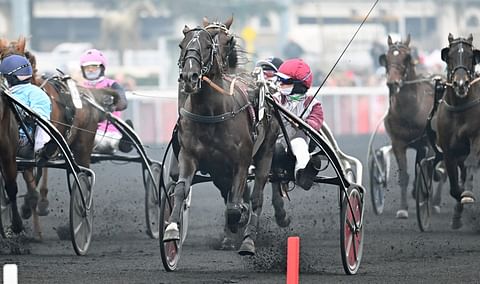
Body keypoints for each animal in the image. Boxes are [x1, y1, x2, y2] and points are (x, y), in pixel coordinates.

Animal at [165, 17, 284, 255]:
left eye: (208, 45)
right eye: (182, 45)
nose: (189, 77)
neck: (211, 113)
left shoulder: (241, 161)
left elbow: (235, 206)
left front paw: (239, 226)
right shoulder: (189, 156)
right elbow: (181, 189)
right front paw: (172, 229)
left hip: (265, 152)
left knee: (256, 197)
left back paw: (247, 239)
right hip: (218, 170)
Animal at [378, 34, 442, 219]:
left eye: (406, 57)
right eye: (386, 57)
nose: (393, 82)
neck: (411, 111)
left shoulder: (428, 144)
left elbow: (428, 171)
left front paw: (426, 201)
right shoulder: (398, 144)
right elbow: (404, 175)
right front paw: (403, 208)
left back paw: (435, 202)